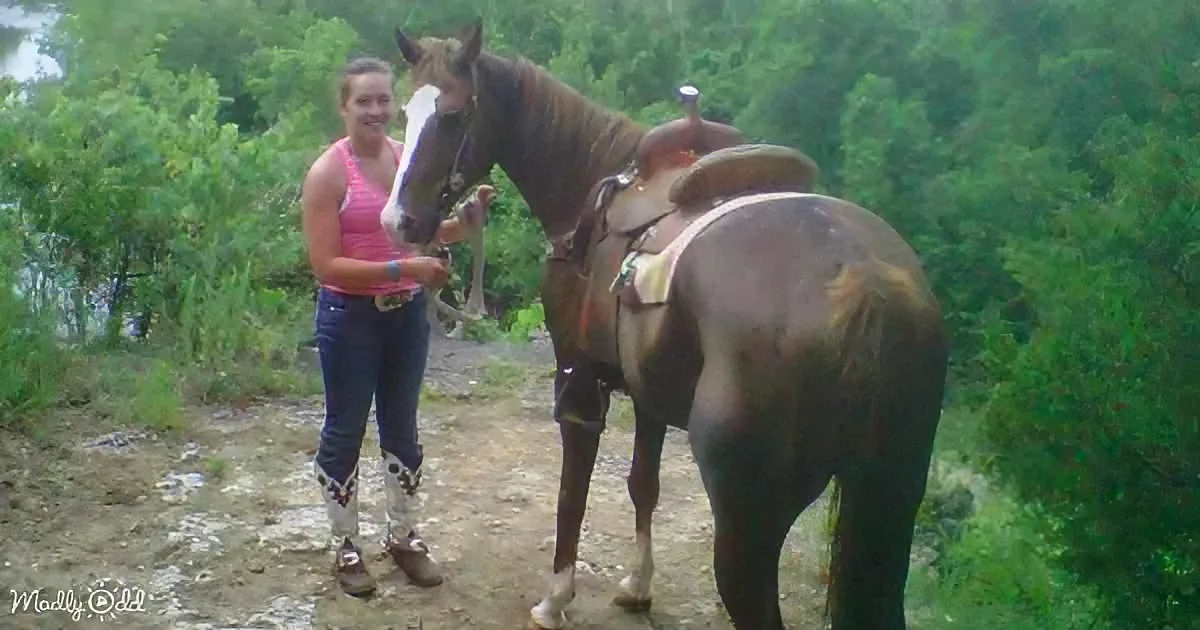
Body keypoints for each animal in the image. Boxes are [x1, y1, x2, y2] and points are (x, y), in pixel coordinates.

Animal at [381, 19, 949, 630]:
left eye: (456, 114)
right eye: (404, 110)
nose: (399, 220)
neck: (593, 191)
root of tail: (864, 284)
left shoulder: (578, 382)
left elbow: (571, 496)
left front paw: (556, 599)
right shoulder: (647, 393)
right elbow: (642, 484)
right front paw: (637, 585)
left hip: (748, 530)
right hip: (889, 506)